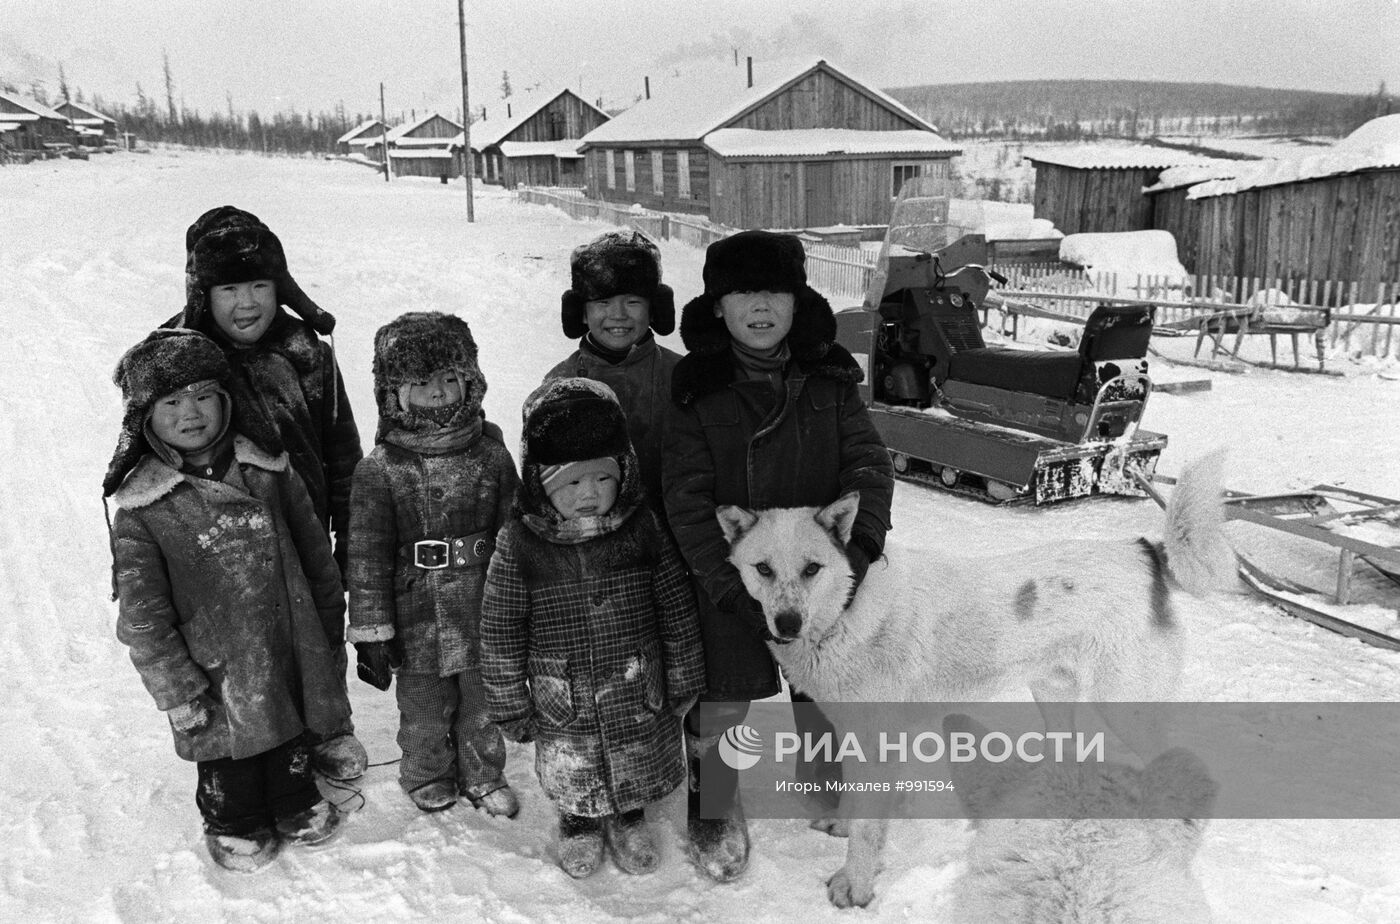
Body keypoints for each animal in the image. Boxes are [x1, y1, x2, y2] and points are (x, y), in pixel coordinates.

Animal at [722, 453, 1237, 907]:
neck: (846, 610)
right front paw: (844, 829)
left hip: (1128, 707)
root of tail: (1145, 552)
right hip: (1054, 692)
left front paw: (857, 887)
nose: (786, 624)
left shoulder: (877, 739)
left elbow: (869, 830)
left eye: (812, 568)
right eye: (763, 568)